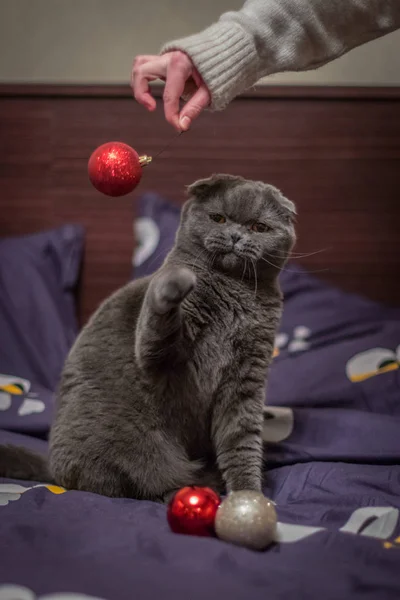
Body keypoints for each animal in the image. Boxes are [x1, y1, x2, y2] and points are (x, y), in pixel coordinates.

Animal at [0, 175, 296, 502]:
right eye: (218, 218)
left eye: (258, 227)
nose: (235, 236)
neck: (235, 294)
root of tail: (53, 468)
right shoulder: (158, 353)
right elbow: (158, 328)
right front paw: (175, 282)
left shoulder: (246, 380)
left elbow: (242, 443)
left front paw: (249, 498)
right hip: (131, 444)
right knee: (126, 485)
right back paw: (189, 486)